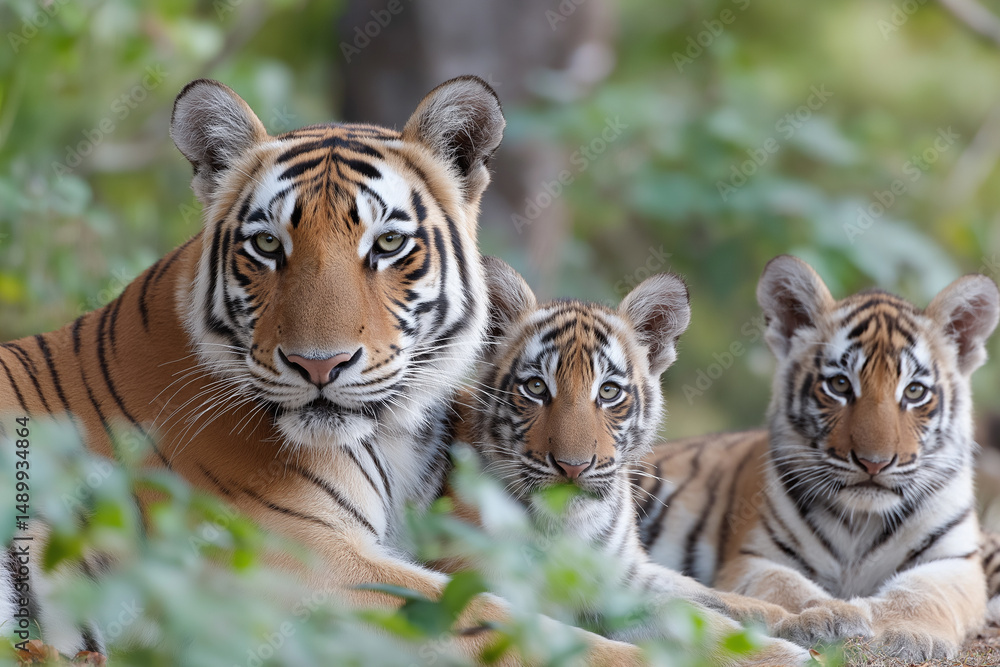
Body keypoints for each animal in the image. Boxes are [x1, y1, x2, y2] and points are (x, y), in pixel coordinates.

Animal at [0, 77, 642, 665]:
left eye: (388, 243)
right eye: (266, 245)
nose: (319, 365)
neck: (395, 436)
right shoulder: (291, 564)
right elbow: (501, 623)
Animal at [445, 257, 814, 666]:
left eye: (608, 392)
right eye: (536, 387)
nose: (573, 466)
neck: (573, 524)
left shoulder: (623, 573)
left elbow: (709, 601)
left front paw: (818, 622)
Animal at [636, 254, 1000, 661]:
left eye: (915, 392)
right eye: (839, 385)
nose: (874, 462)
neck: (862, 520)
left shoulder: (953, 560)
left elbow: (921, 595)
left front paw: (908, 634)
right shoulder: (755, 557)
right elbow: (787, 588)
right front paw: (826, 616)